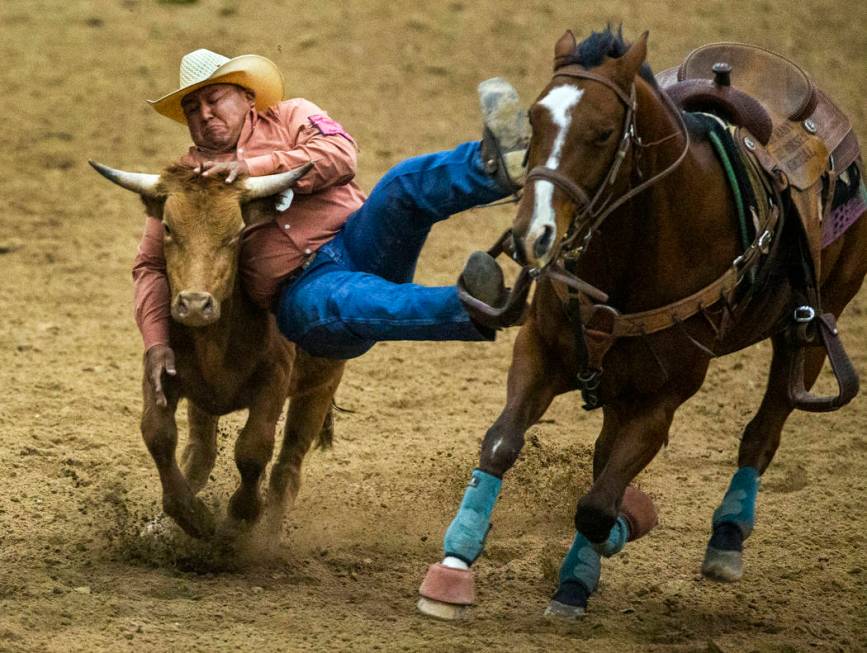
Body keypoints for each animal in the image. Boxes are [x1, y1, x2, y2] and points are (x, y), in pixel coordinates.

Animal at [418, 26, 864, 616]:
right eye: (534, 119)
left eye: (604, 132)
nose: (531, 235)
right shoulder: (541, 350)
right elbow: (502, 444)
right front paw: (454, 566)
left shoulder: (660, 401)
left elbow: (597, 504)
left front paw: (593, 559)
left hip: (812, 328)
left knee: (762, 433)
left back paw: (726, 538)